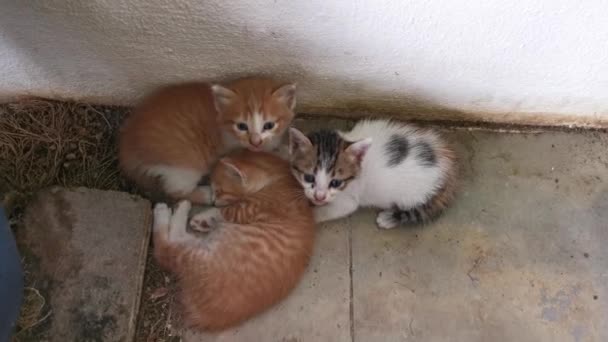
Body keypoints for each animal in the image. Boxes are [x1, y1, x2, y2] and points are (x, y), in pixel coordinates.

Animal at [119, 77, 296, 203]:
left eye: (269, 125)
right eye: (241, 126)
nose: (255, 141)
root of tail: (127, 149)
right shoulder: (234, 150)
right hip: (185, 164)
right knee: (176, 191)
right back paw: (206, 194)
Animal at [152, 150, 316, 332]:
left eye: (220, 191)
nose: (213, 200)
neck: (281, 179)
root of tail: (203, 314)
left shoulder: (247, 209)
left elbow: (225, 210)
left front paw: (206, 214)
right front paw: (204, 218)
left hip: (196, 255)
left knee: (165, 249)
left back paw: (171, 209)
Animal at [288, 119, 456, 228]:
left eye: (335, 182)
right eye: (309, 177)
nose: (319, 196)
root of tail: (447, 164)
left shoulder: (348, 201)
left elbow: (326, 211)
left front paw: (310, 215)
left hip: (412, 195)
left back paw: (388, 218)